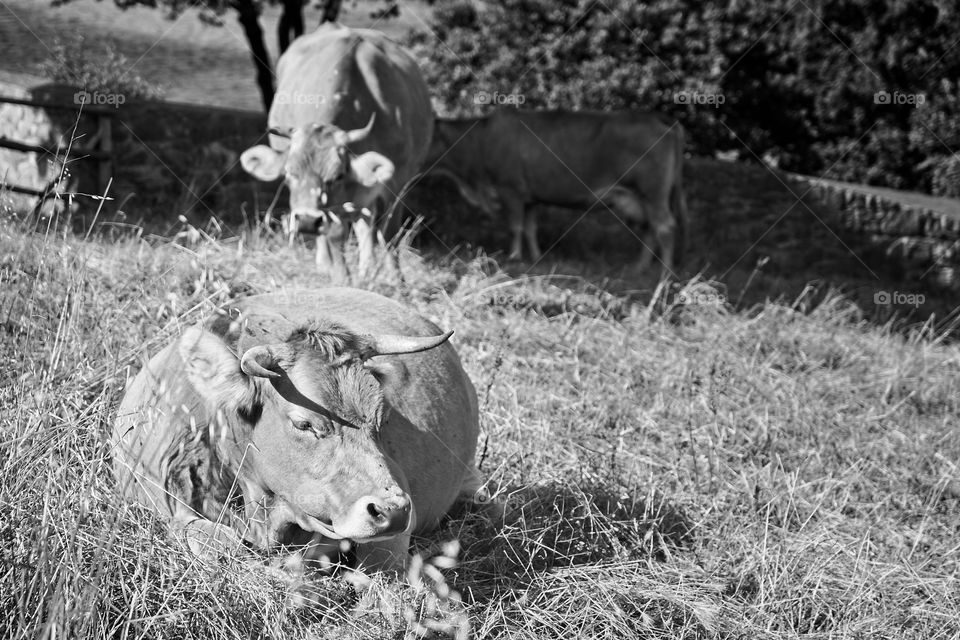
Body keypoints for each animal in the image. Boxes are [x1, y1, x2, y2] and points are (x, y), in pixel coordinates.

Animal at [242, 23, 434, 278]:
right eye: (290, 173)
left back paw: (366, 267)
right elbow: (335, 234)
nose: (306, 221)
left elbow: (389, 233)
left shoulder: (396, 183)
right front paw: (342, 277)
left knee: (367, 225)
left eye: (337, 175)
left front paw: (396, 280)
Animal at [424, 109, 688, 278]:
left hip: (652, 193)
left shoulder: (511, 191)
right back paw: (638, 268)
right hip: (642, 199)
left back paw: (665, 272)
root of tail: (658, 118)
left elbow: (515, 227)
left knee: (664, 227)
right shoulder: (530, 197)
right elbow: (530, 228)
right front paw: (537, 256)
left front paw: (514, 256)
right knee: (651, 228)